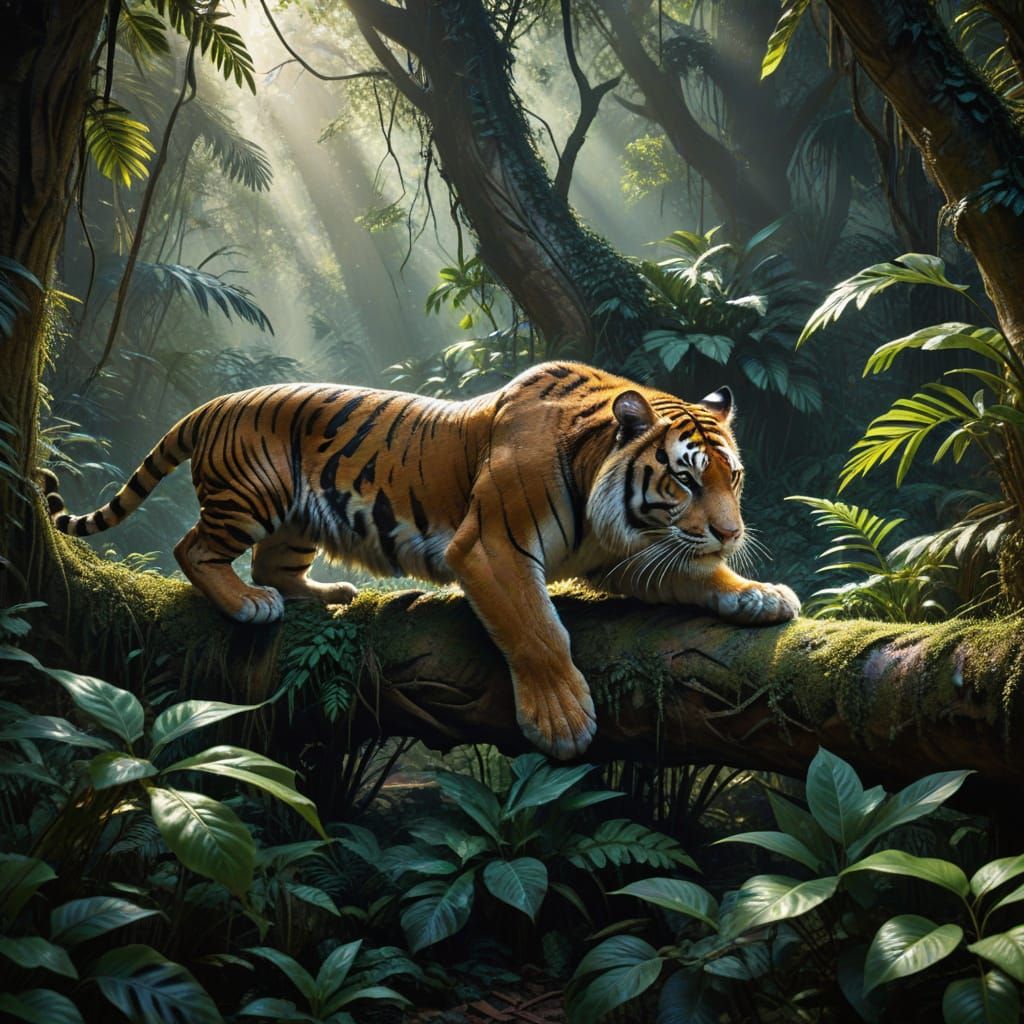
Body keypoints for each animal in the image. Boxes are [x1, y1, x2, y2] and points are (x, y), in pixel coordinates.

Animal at [41, 361, 800, 760]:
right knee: (194, 548)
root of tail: (215, 403)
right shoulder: (491, 546)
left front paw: (759, 592)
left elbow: (694, 574)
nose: (731, 531)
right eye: (685, 481)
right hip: (255, 494)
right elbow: (538, 630)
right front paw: (560, 720)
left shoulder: (623, 556)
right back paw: (250, 605)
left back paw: (326, 594)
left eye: (732, 479)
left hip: (297, 521)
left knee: (270, 563)